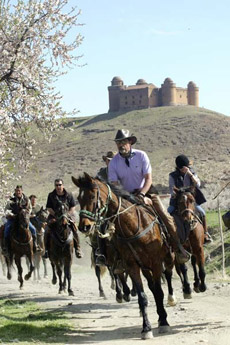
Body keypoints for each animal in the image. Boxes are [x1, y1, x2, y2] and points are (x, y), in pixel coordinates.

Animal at [72, 173, 174, 338]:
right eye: (79, 199)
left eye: (92, 196)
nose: (84, 226)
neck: (135, 227)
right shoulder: (132, 266)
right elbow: (142, 297)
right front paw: (146, 328)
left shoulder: (156, 263)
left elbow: (159, 292)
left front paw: (164, 322)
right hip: (141, 266)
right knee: (148, 285)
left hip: (167, 258)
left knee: (168, 275)